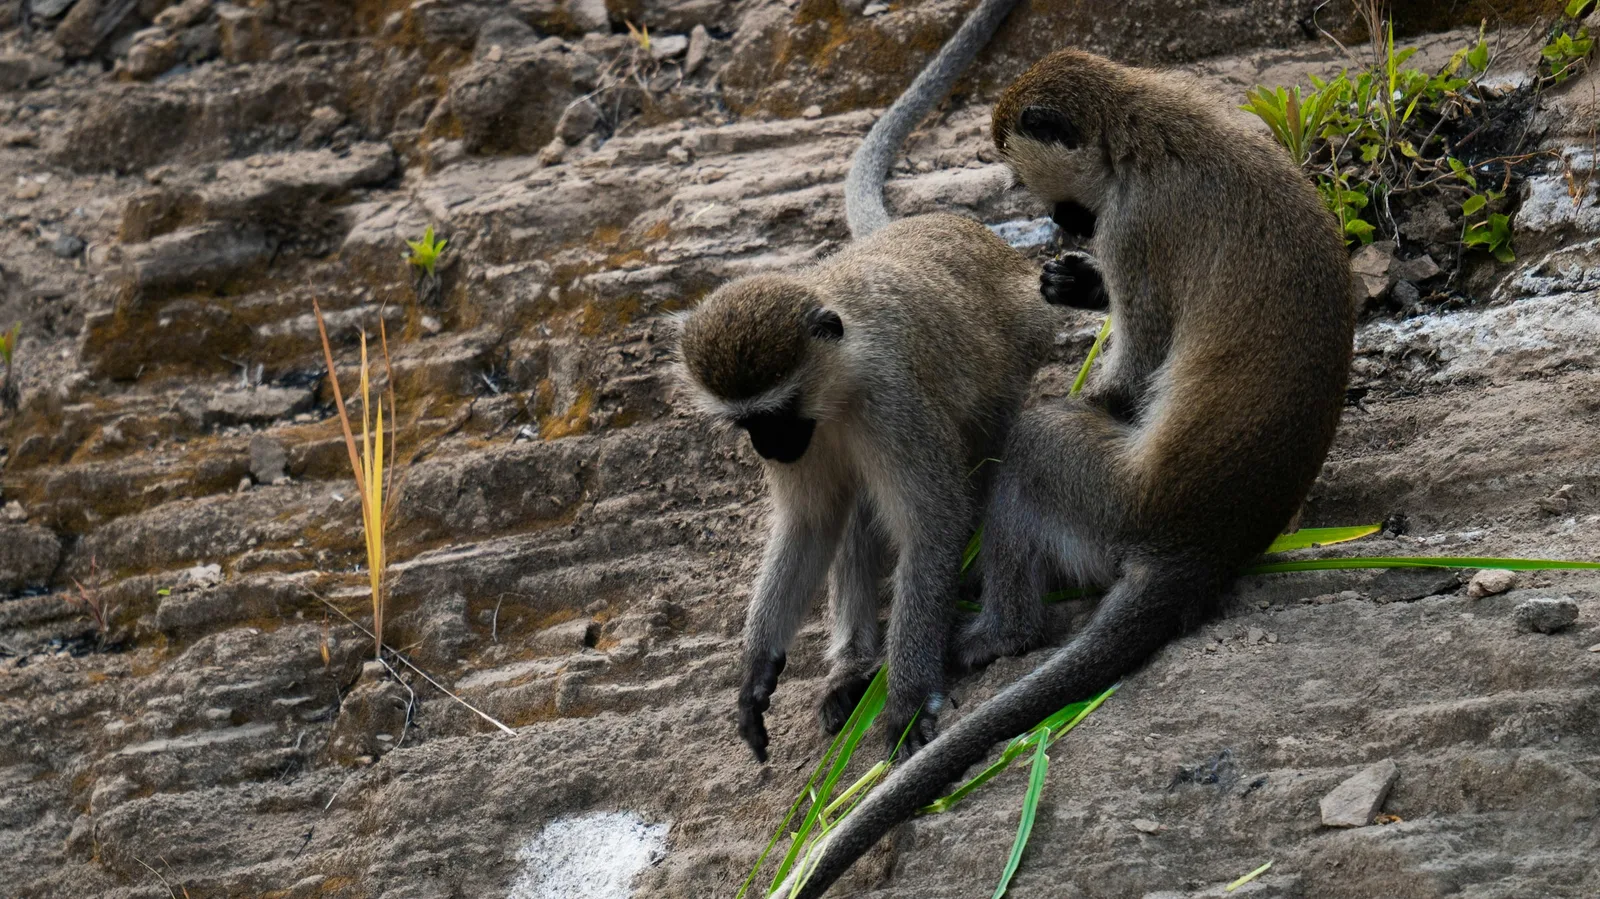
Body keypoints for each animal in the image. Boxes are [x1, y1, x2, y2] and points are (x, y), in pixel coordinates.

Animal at [675, 213, 1062, 762]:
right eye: (747, 422)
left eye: (778, 411)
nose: (768, 448)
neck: (839, 386)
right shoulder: (811, 440)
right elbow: (811, 525)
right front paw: (756, 668)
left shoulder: (893, 402)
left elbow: (934, 522)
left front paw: (908, 701)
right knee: (854, 515)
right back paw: (852, 669)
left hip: (1016, 364)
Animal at [783, 48, 1356, 897]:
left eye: (1037, 182)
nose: (1060, 222)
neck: (1145, 122)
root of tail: (1203, 547)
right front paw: (1079, 285)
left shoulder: (1135, 227)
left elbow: (1134, 372)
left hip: (1114, 502)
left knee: (1035, 440)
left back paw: (999, 631)